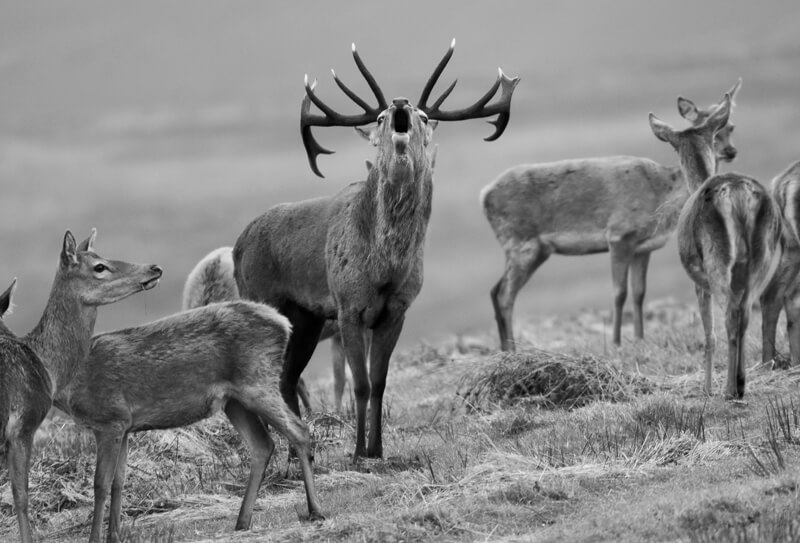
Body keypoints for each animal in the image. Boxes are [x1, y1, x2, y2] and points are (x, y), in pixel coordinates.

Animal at [233, 40, 518, 460]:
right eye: (381, 116)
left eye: (421, 115)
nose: (399, 102)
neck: (384, 269)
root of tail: (238, 244)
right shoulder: (348, 307)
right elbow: (361, 384)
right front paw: (356, 454)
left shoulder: (396, 310)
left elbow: (381, 382)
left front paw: (377, 449)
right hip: (265, 300)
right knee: (276, 379)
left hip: (305, 317)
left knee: (287, 378)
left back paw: (297, 451)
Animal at [480, 80, 741, 352]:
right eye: (716, 131)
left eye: (732, 126)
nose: (730, 151)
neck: (662, 192)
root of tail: (484, 195)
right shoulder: (619, 235)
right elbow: (619, 293)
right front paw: (616, 342)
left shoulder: (644, 247)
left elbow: (639, 294)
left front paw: (639, 338)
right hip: (521, 243)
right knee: (505, 294)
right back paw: (511, 349)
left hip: (532, 249)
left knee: (495, 291)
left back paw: (505, 348)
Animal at [649, 94, 783, 399]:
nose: (729, 150)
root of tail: (737, 193)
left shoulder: (698, 281)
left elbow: (708, 333)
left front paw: (707, 388)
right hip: (762, 254)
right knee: (746, 312)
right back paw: (740, 383)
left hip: (716, 257)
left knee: (731, 315)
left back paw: (729, 390)